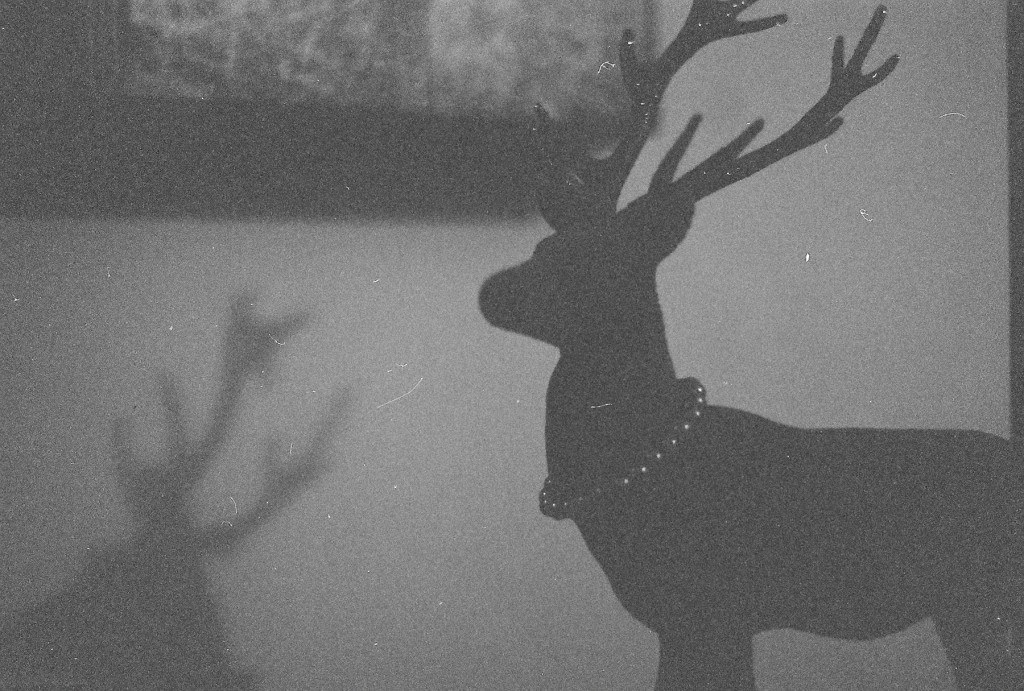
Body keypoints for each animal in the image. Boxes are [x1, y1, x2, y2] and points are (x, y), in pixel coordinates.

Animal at [479, 2, 1022, 689]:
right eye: (545, 246)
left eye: (598, 265)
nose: (492, 291)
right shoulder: (678, 621)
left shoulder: (715, 610)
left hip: (980, 597)